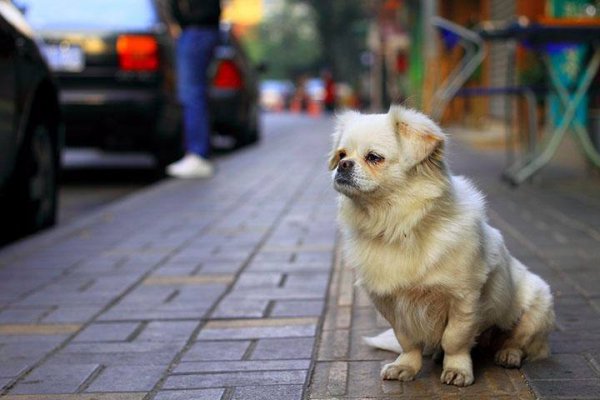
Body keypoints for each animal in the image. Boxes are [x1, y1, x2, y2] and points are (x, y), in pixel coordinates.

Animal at [330, 104, 556, 386]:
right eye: (341, 154)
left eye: (373, 158)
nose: (343, 165)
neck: (398, 225)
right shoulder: (391, 303)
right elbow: (407, 340)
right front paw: (406, 366)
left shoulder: (464, 298)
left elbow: (455, 339)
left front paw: (458, 370)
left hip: (537, 307)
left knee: (518, 341)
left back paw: (508, 354)